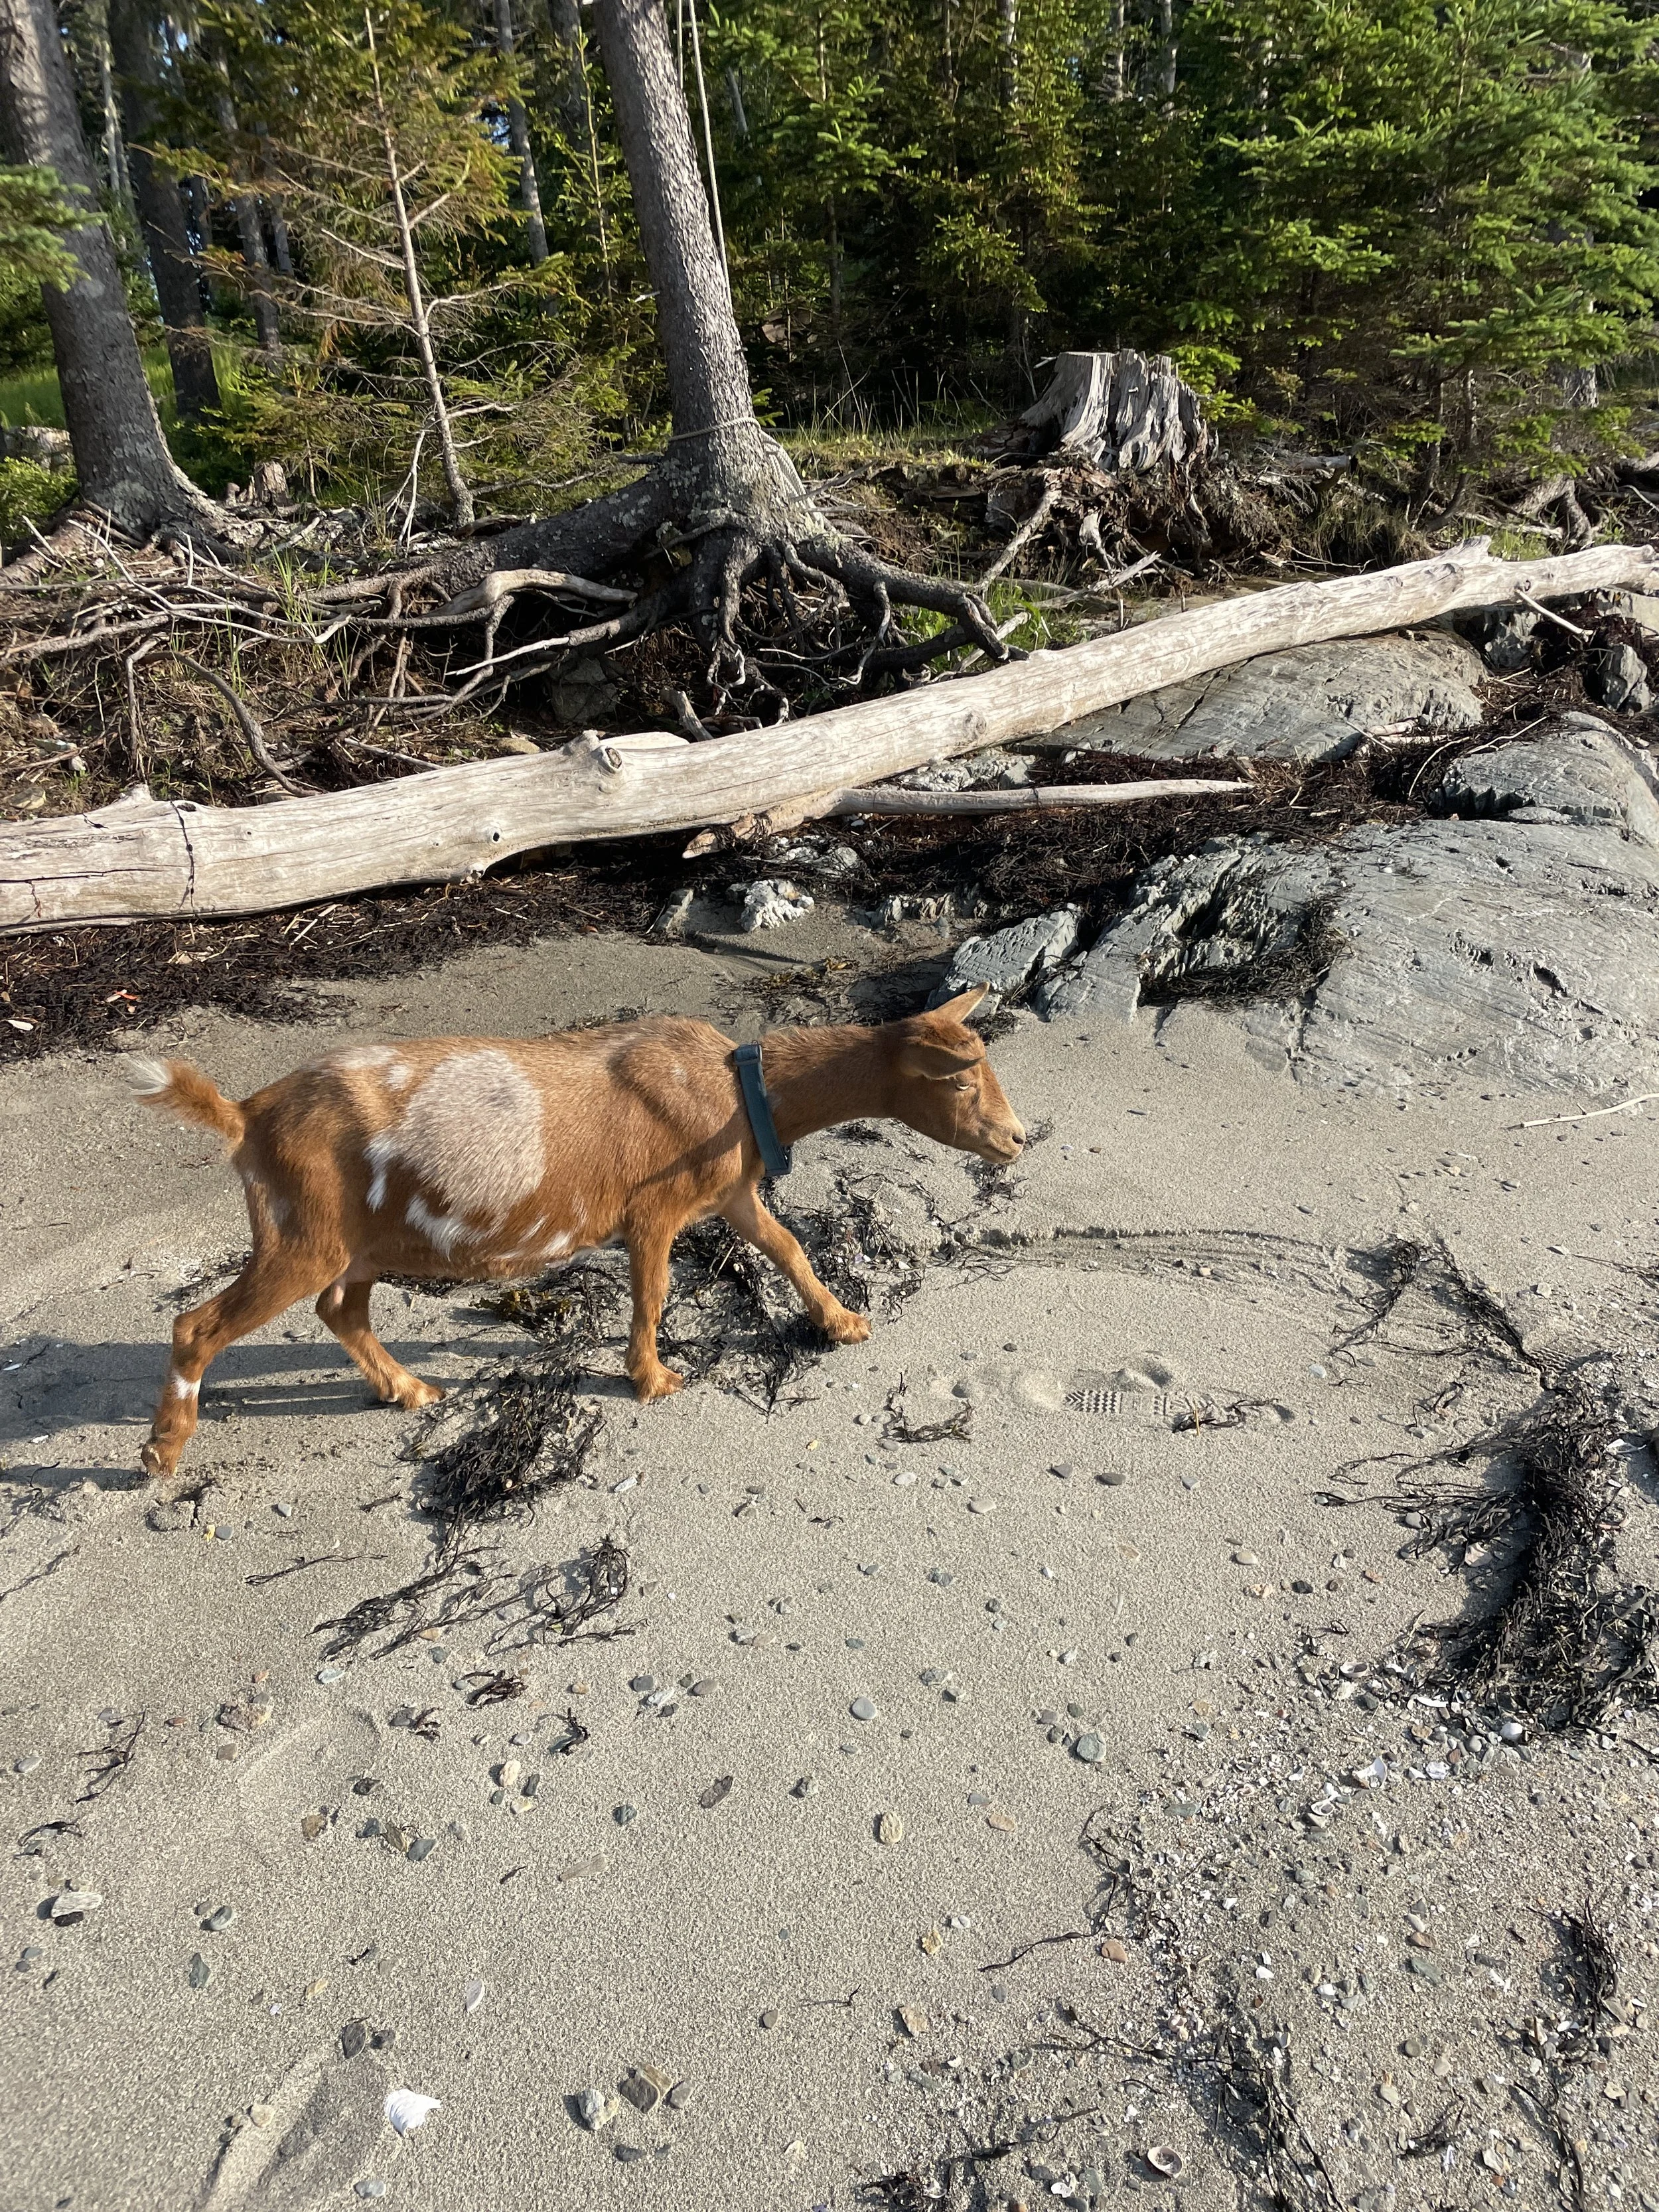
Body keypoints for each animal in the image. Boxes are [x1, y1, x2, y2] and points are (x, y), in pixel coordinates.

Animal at [124, 987, 1023, 1484]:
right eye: (961, 1079)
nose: (1018, 1140)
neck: (740, 1089)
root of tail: (246, 1117)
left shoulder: (730, 1191)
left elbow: (787, 1246)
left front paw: (840, 1323)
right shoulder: (655, 1208)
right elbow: (654, 1290)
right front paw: (651, 1379)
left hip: (357, 1242)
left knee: (341, 1310)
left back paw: (409, 1390)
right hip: (299, 1230)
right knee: (198, 1325)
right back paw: (163, 1453)